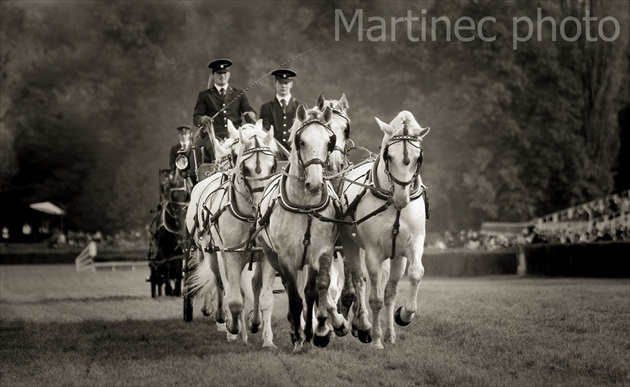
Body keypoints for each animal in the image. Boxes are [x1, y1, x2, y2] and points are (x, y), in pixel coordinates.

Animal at [256, 104, 350, 354]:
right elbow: (295, 297)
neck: (305, 206)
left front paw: (318, 331)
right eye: (301, 142)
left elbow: (318, 289)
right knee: (289, 288)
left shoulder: (323, 252)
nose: (315, 183)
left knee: (307, 291)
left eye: (328, 141)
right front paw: (298, 337)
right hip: (271, 255)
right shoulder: (286, 257)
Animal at [338, 110, 432, 350]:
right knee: (358, 280)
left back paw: (388, 332)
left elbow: (414, 274)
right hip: (349, 244)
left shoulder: (413, 243)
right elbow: (375, 298)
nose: (401, 198)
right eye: (389, 155)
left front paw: (404, 315)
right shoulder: (372, 250)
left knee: (389, 290)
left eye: (418, 158)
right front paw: (376, 339)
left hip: (396, 255)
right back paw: (362, 325)